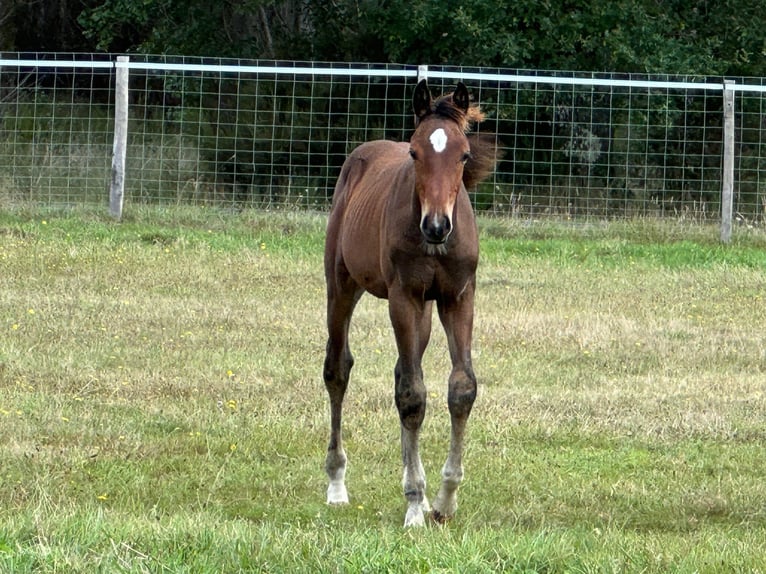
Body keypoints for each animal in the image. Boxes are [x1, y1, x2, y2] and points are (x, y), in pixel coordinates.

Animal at [322, 81, 498, 532]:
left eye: (464, 155)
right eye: (415, 153)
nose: (436, 226)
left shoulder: (458, 296)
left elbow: (460, 388)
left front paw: (445, 500)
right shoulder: (404, 296)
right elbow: (413, 395)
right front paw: (416, 505)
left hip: (425, 313)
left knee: (403, 371)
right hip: (342, 285)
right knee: (338, 369)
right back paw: (336, 484)